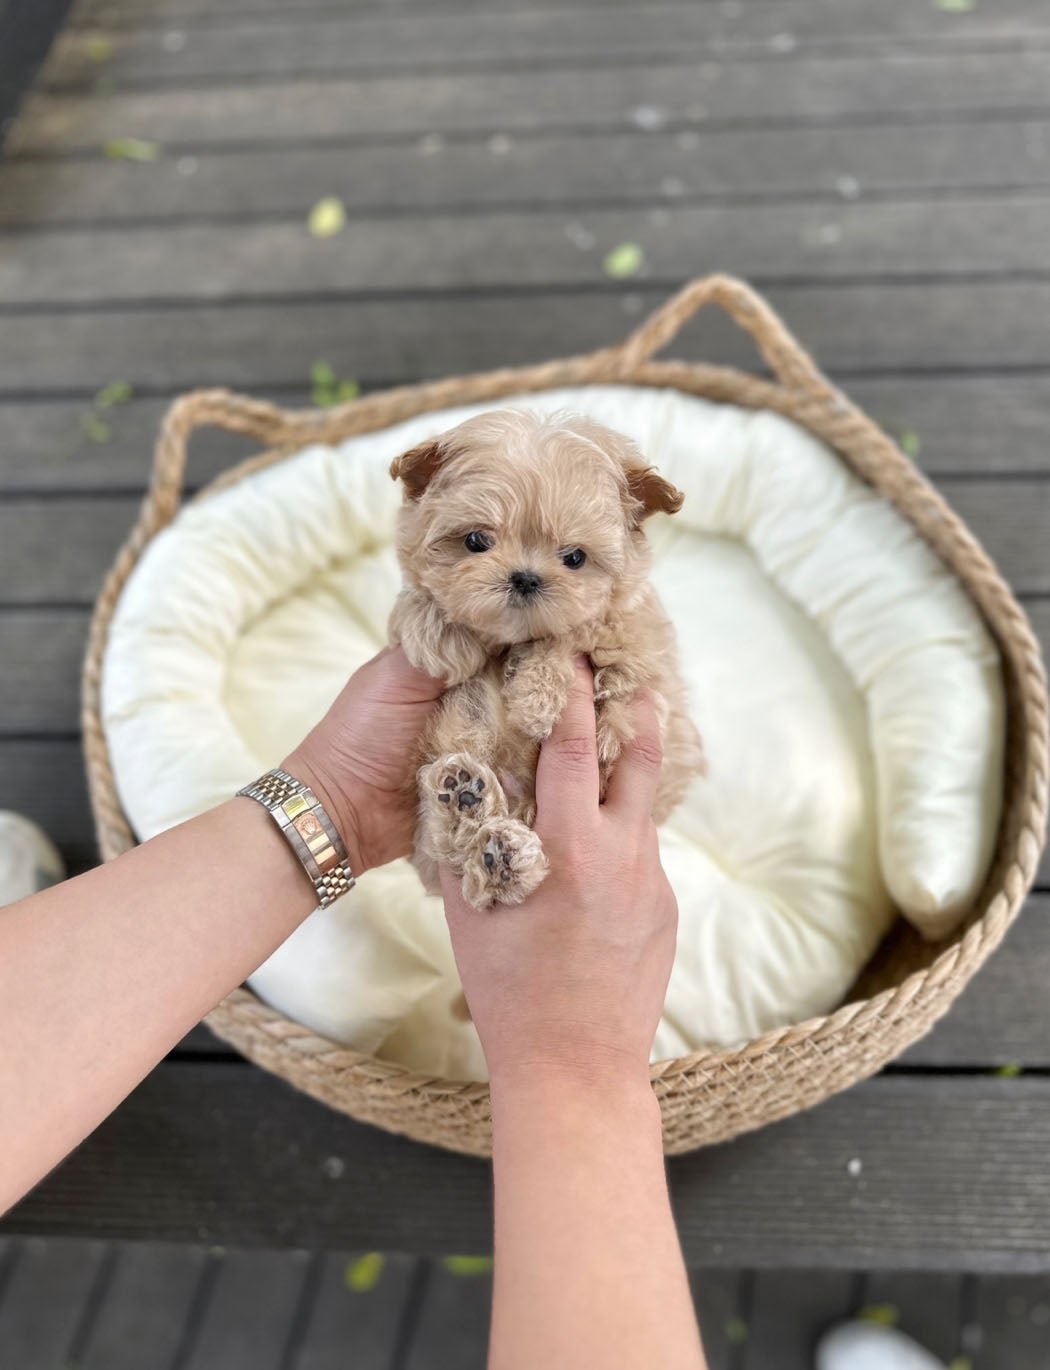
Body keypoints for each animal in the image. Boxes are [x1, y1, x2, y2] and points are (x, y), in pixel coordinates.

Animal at [389, 402, 707, 909]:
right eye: (476, 541)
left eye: (575, 557)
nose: (525, 578)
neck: (509, 641)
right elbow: (418, 605)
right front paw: (438, 633)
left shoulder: (636, 653)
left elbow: (579, 642)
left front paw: (535, 701)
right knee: (447, 845)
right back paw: (474, 819)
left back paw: (499, 850)